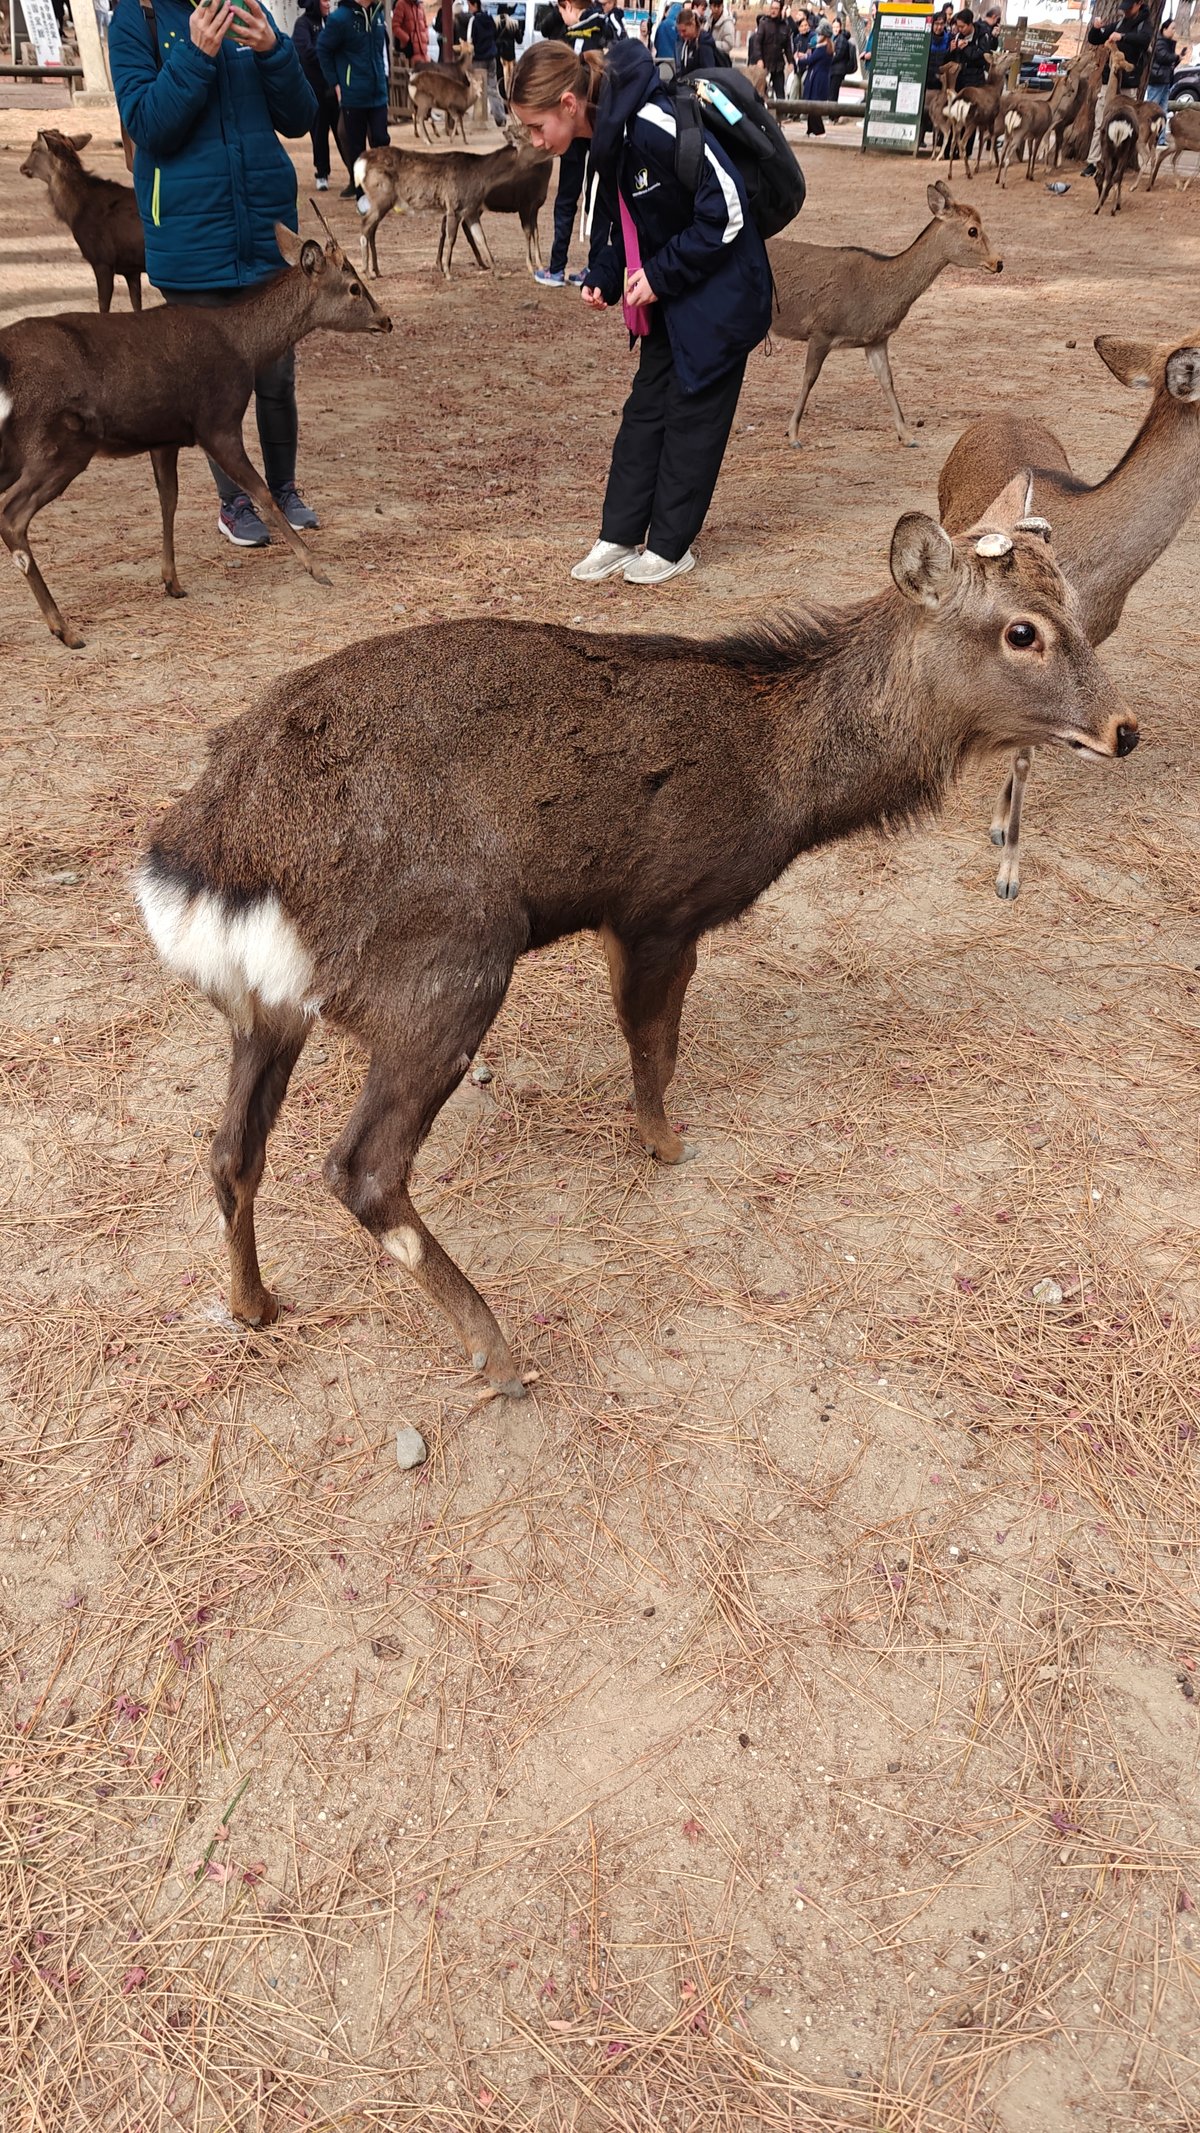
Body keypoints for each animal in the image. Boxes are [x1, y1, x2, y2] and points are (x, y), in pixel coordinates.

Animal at [0, 227, 390, 650]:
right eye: (354, 287)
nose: (386, 319)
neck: (246, 348)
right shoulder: (217, 422)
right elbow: (261, 492)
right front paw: (316, 567)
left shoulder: (164, 437)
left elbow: (168, 501)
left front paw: (172, 582)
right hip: (56, 445)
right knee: (11, 517)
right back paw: (64, 629)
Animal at [19, 129, 145, 314]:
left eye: (34, 148)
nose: (23, 167)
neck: (75, 212)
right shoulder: (131, 268)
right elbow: (137, 305)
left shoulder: (102, 259)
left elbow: (103, 306)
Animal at [134, 474, 1135, 1401]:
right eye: (1022, 631)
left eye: (1075, 604)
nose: (1123, 729)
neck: (783, 785)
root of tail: (205, 866)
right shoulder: (661, 901)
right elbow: (655, 1042)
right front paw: (666, 1145)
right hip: (447, 959)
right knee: (360, 1167)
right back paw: (498, 1351)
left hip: (261, 1005)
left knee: (229, 1152)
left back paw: (254, 1304)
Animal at [357, 139, 551, 279]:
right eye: (532, 143)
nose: (551, 148)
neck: (481, 176)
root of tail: (360, 163)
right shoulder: (454, 206)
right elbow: (451, 239)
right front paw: (448, 273)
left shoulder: (471, 210)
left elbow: (482, 239)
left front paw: (497, 272)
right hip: (381, 196)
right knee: (365, 225)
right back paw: (367, 272)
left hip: (381, 201)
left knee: (371, 229)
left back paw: (376, 270)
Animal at [768, 182, 1002, 449]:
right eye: (973, 230)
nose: (999, 262)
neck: (875, 297)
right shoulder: (821, 330)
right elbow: (809, 378)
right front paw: (793, 435)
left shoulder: (876, 340)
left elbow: (887, 380)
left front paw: (908, 436)